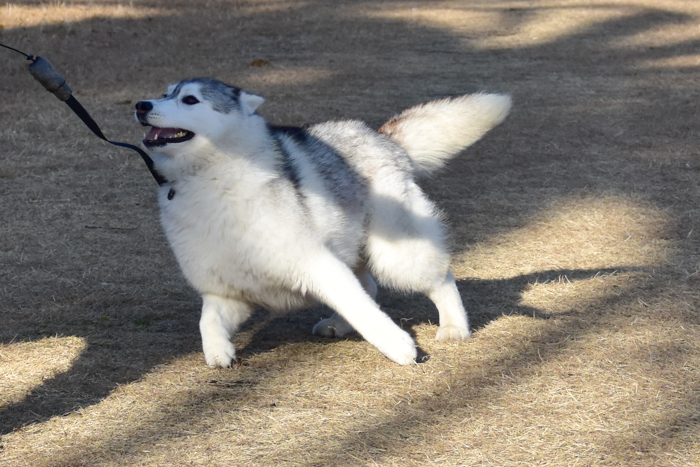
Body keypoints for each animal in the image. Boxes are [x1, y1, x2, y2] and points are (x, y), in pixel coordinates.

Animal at [134, 78, 512, 368]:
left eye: (189, 99)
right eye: (165, 92)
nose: (140, 104)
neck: (208, 178)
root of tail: (383, 138)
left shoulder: (317, 265)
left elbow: (362, 310)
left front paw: (398, 346)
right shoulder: (227, 291)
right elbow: (207, 320)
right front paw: (218, 350)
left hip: (396, 254)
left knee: (440, 279)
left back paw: (454, 327)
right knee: (368, 284)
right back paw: (338, 324)